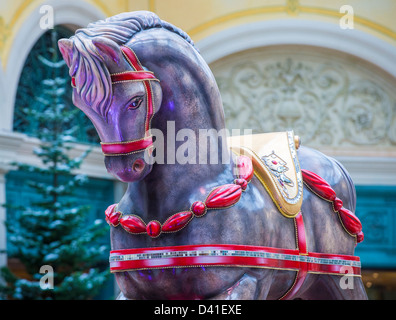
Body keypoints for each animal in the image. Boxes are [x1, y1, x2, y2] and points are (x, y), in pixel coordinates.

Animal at [57, 10, 366, 300]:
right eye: (82, 106)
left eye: (135, 101)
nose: (124, 167)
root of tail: (336, 165)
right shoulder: (133, 291)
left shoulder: (247, 282)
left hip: (339, 278)